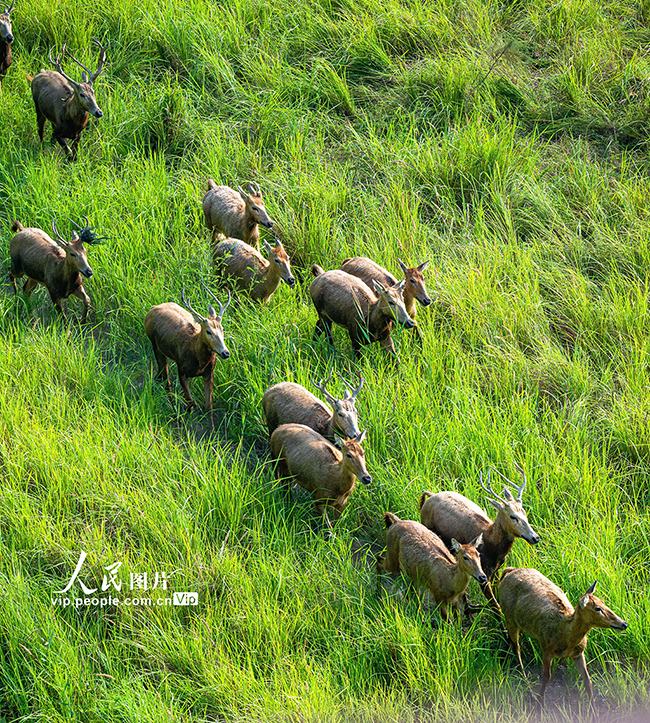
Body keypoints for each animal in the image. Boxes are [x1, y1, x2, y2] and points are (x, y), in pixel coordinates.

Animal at [144, 286, 230, 428]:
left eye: (222, 329)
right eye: (208, 331)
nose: (225, 352)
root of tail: (152, 308)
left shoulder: (209, 373)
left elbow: (208, 407)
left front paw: (212, 431)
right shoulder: (182, 371)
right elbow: (190, 403)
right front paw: (186, 425)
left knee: (162, 375)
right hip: (155, 345)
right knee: (166, 380)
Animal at [418, 466, 540, 612]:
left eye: (524, 512)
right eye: (512, 516)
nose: (535, 537)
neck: (492, 544)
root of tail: (429, 496)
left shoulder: (495, 570)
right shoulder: (483, 573)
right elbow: (495, 606)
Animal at [496, 572, 628, 708]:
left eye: (603, 602)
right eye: (597, 608)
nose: (624, 623)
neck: (566, 637)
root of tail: (508, 571)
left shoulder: (579, 653)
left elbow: (587, 680)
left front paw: (593, 709)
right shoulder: (546, 649)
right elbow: (546, 676)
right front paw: (539, 702)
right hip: (509, 616)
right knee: (516, 647)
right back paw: (527, 682)